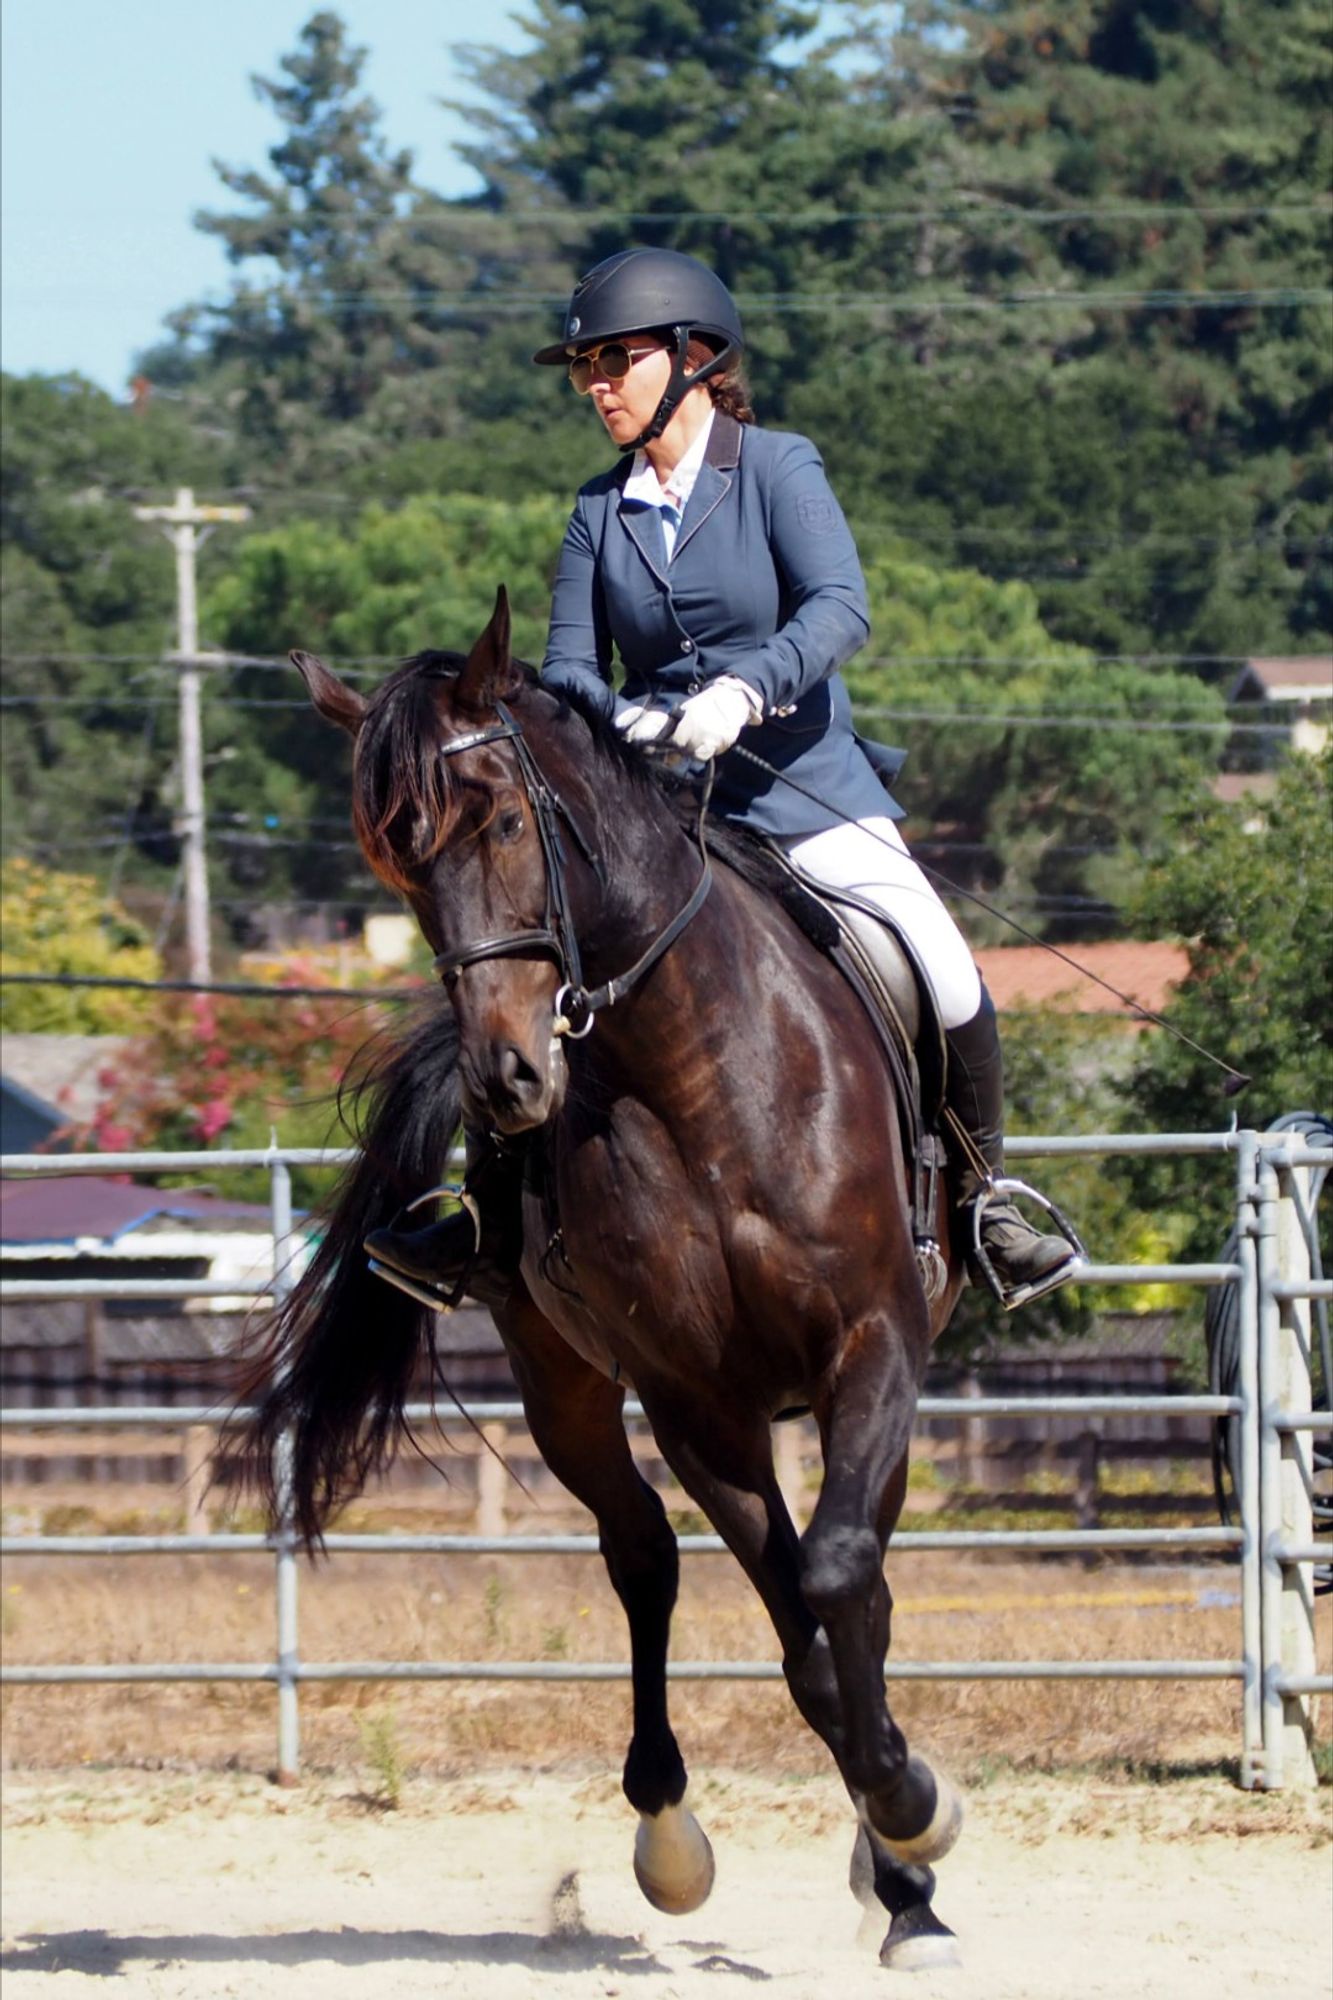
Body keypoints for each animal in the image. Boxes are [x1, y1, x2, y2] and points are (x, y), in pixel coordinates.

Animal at [239, 584, 964, 1960]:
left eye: (508, 821)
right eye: (401, 864)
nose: (510, 1080)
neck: (696, 1071)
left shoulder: (873, 1343)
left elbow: (839, 1574)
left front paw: (908, 1821)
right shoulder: (694, 1400)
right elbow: (796, 1624)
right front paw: (899, 1811)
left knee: (854, 1580)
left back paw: (895, 1864)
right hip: (561, 1381)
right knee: (645, 1557)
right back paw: (674, 1829)